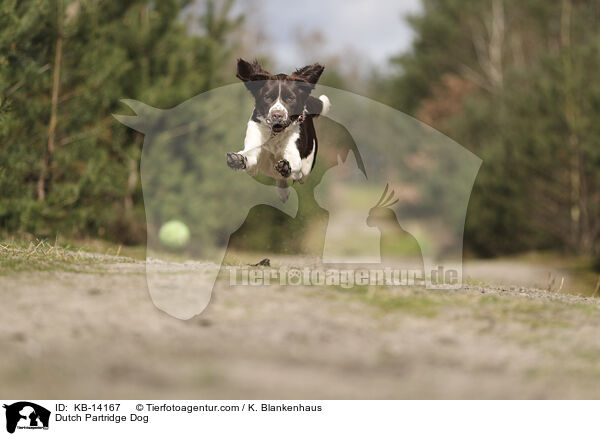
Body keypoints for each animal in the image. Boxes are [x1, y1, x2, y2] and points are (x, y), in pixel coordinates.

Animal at [226, 58, 330, 203]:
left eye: (290, 98)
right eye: (268, 97)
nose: (277, 115)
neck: (275, 135)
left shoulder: (294, 154)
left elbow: (292, 165)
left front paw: (285, 167)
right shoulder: (254, 143)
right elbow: (249, 156)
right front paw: (238, 159)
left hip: (307, 167)